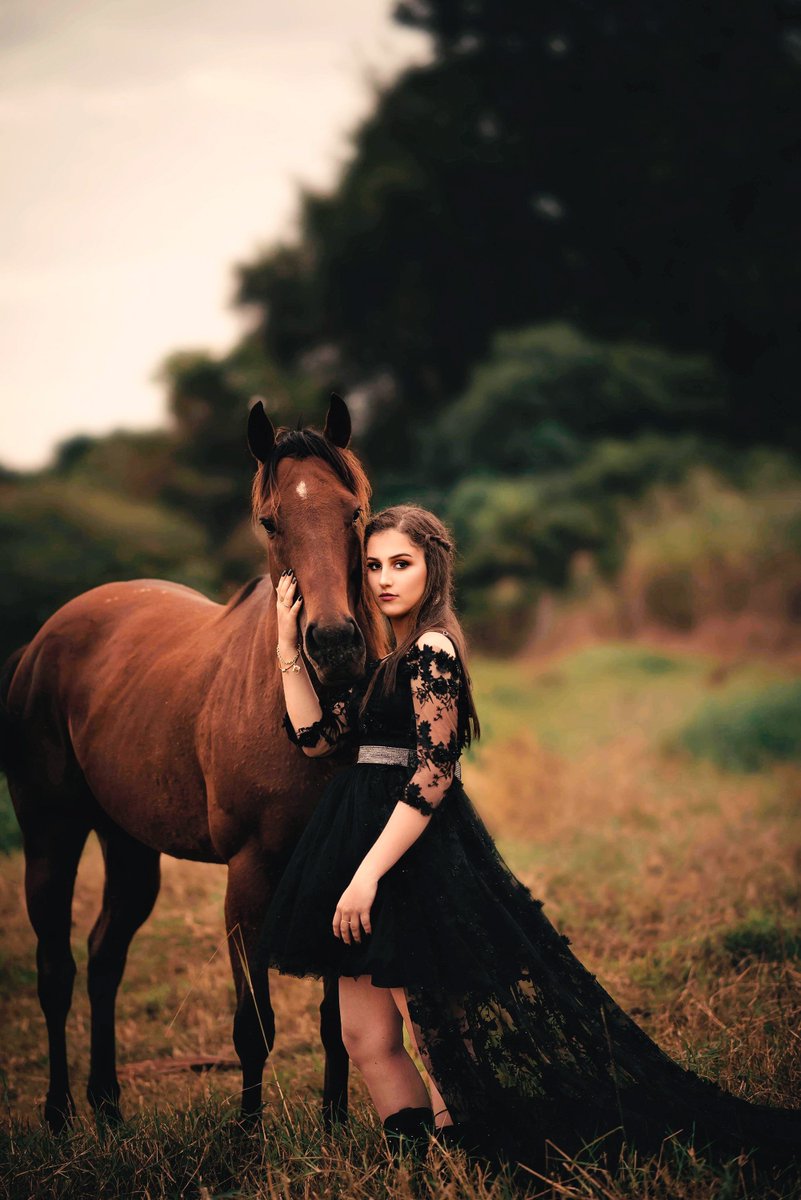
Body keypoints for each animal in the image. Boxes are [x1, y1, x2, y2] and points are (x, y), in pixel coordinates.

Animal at [0, 393, 386, 1132]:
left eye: (353, 510)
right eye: (270, 522)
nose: (333, 645)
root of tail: (40, 642)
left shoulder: (339, 869)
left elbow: (336, 1022)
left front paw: (335, 1125)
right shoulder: (248, 877)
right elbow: (254, 1026)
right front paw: (246, 1139)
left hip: (128, 845)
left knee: (104, 957)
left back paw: (109, 1106)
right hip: (52, 836)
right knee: (56, 970)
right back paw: (61, 1115)